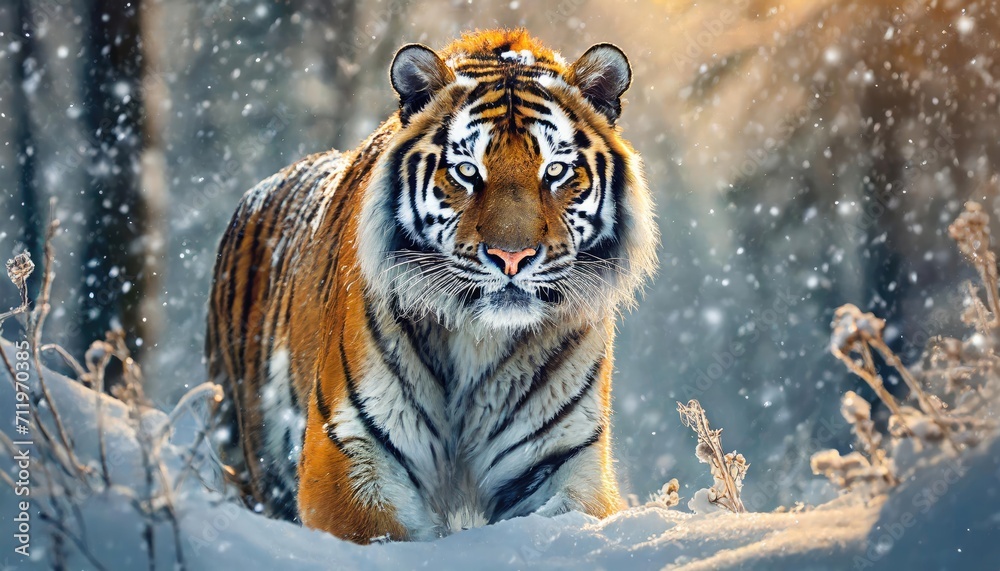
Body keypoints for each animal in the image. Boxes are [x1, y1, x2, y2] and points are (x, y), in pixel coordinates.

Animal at [205, 28, 658, 543]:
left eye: (556, 171)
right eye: (467, 171)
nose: (512, 257)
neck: (480, 338)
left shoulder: (564, 458)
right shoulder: (346, 448)